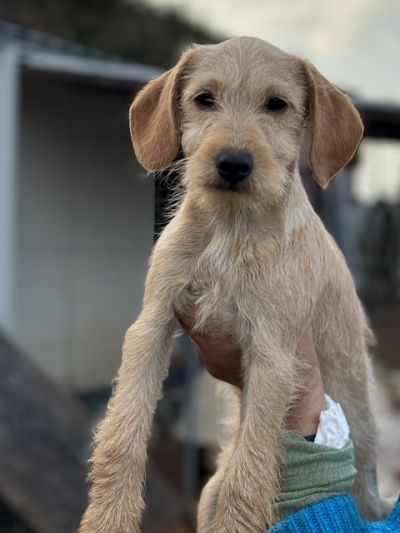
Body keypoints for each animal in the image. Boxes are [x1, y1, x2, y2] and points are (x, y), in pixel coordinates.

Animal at [79, 36, 381, 532]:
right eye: (205, 99)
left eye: (277, 104)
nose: (233, 164)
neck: (230, 228)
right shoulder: (152, 325)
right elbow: (123, 434)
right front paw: (108, 517)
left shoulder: (272, 355)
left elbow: (250, 472)